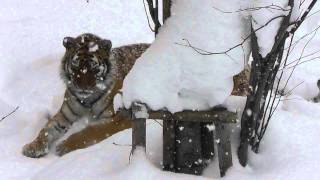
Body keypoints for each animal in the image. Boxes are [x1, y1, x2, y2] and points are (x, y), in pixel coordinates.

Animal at [22, 33, 150, 158]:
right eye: (75, 65)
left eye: (94, 67)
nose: (83, 87)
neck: (87, 100)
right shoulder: (65, 115)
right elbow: (47, 128)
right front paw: (33, 147)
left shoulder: (120, 117)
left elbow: (92, 131)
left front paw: (64, 146)